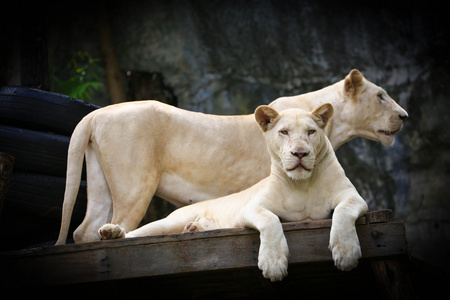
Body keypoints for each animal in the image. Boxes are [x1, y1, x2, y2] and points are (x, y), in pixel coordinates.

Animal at [56, 69, 408, 245]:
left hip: (100, 182)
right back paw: (114, 235)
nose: (404, 116)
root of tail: (97, 113)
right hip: (134, 186)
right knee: (117, 226)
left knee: (84, 230)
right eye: (381, 96)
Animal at [99, 103, 370, 282]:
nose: (300, 153)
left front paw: (346, 253)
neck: (303, 184)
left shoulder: (354, 198)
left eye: (311, 132)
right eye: (284, 132)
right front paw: (273, 264)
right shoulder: (251, 207)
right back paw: (111, 232)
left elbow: (343, 212)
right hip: (167, 222)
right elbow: (271, 221)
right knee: (135, 232)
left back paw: (194, 229)